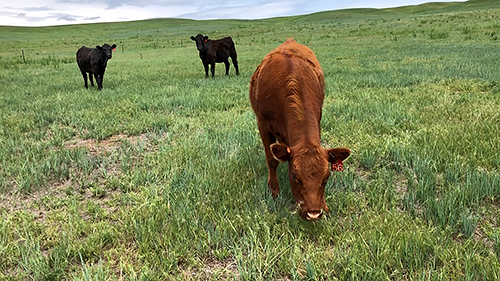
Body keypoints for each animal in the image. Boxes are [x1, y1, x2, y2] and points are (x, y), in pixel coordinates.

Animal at [250, 38, 352, 220]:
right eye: (295, 176)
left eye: (326, 177)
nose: (313, 213)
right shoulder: (262, 124)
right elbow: (272, 161)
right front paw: (274, 191)